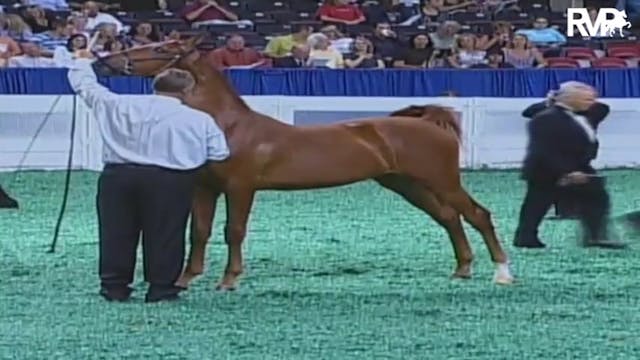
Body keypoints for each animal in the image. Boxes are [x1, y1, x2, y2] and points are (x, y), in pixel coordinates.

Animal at [96, 37, 516, 290]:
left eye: (162, 47)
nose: (105, 61)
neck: (229, 127)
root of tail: (429, 122)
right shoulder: (205, 188)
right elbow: (198, 231)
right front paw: (185, 280)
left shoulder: (240, 187)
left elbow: (234, 231)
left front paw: (229, 280)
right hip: (406, 184)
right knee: (448, 217)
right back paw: (462, 269)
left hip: (441, 180)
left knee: (477, 214)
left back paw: (502, 273)